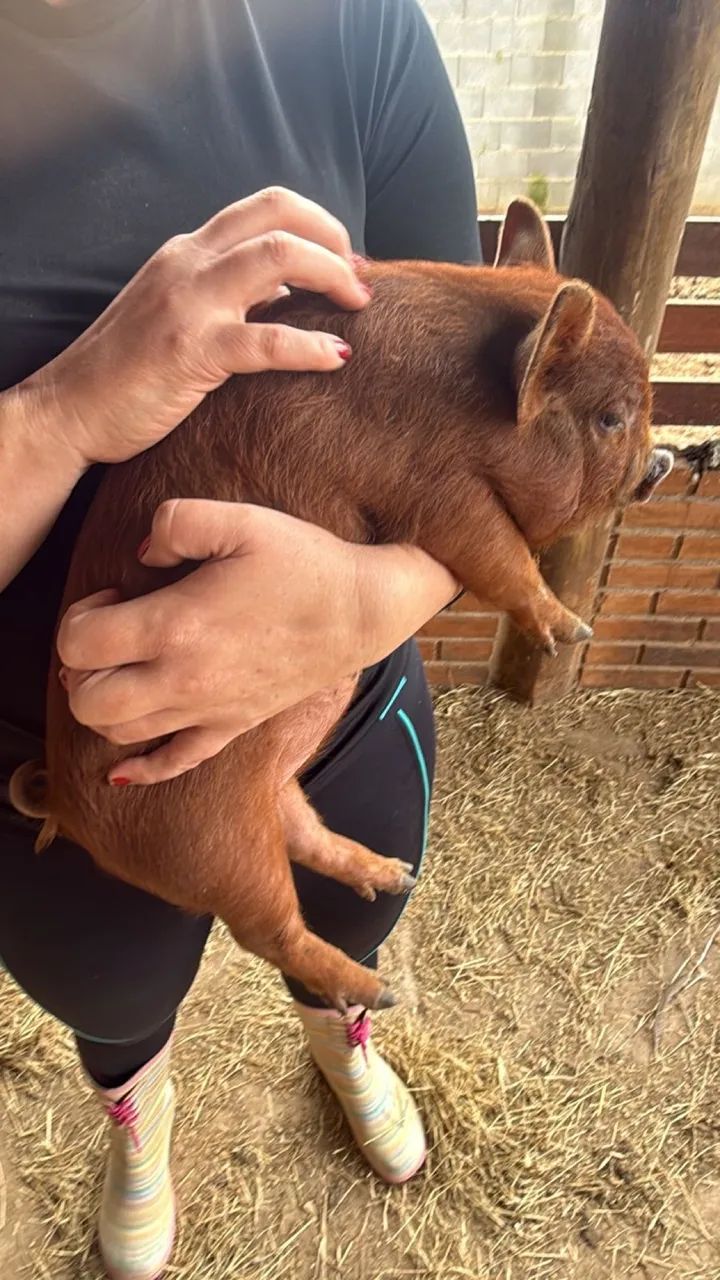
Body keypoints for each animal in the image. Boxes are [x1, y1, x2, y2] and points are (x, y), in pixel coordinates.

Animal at [11, 199, 672, 1011]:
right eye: (610, 418)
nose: (661, 464)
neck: (463, 402)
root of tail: (69, 813)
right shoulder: (429, 487)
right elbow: (497, 552)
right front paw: (571, 630)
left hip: (269, 791)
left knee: (306, 833)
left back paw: (390, 874)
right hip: (205, 837)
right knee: (266, 929)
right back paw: (378, 992)